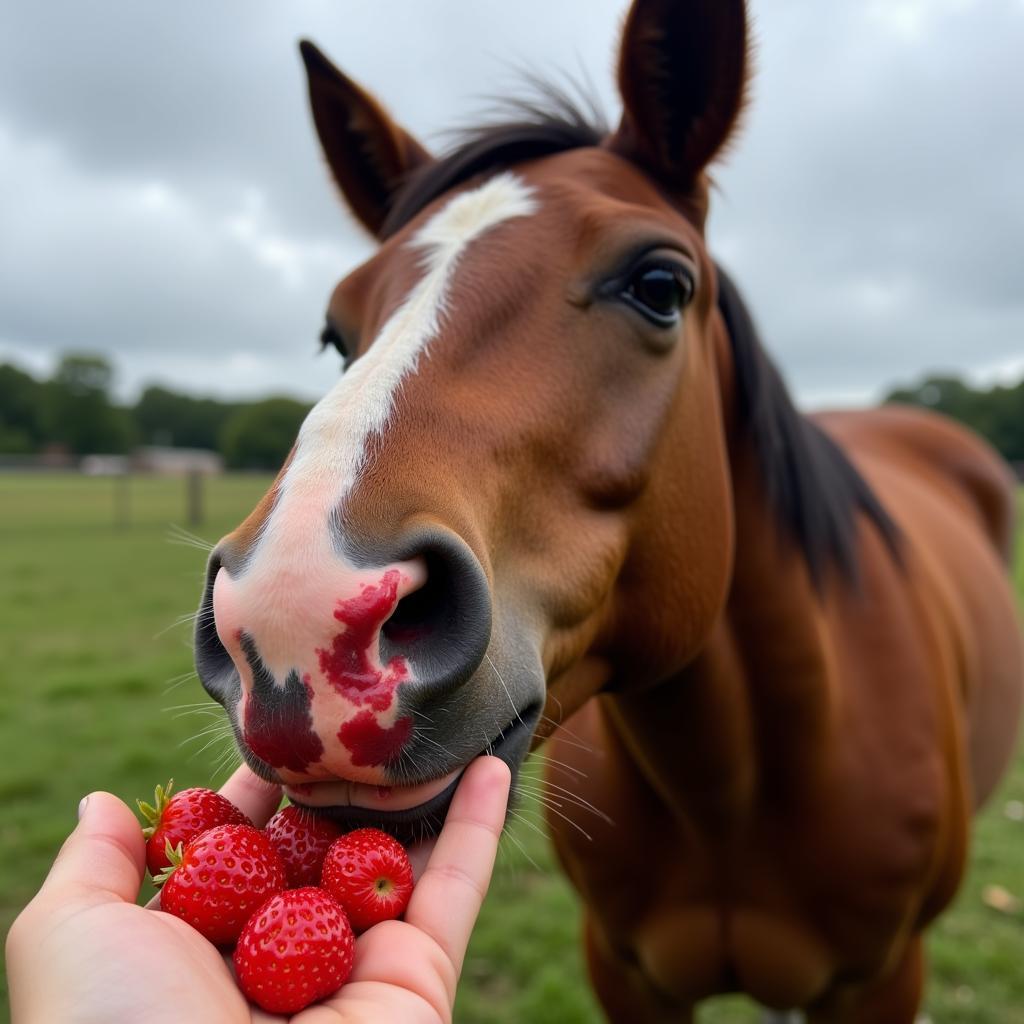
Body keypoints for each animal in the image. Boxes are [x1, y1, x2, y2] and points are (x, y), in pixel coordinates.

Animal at [193, 4, 1024, 1019]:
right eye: (334, 329)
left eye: (660, 286)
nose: (294, 617)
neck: (731, 795)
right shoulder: (625, 971)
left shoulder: (881, 979)